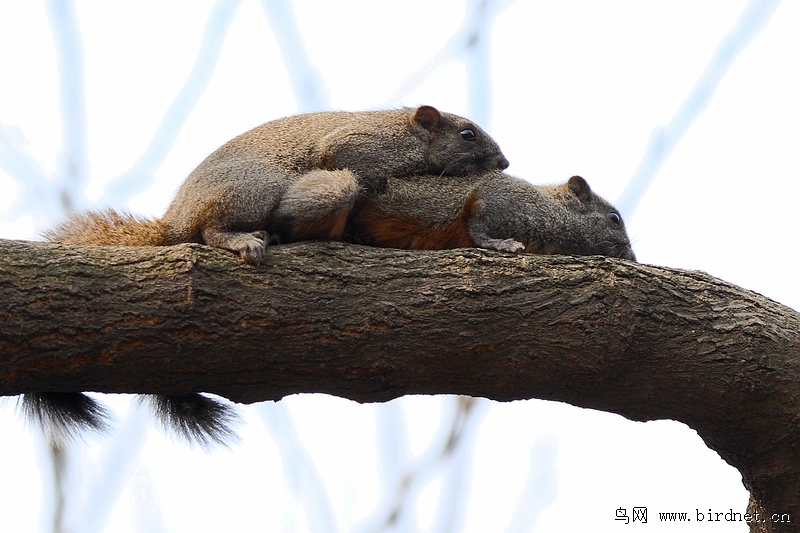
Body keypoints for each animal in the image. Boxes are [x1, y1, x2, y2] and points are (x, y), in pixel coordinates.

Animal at [26, 104, 512, 444]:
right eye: (467, 134)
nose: (505, 163)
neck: (404, 133)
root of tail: (175, 222)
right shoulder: (358, 146)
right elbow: (355, 168)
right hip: (253, 189)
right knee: (210, 230)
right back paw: (241, 239)